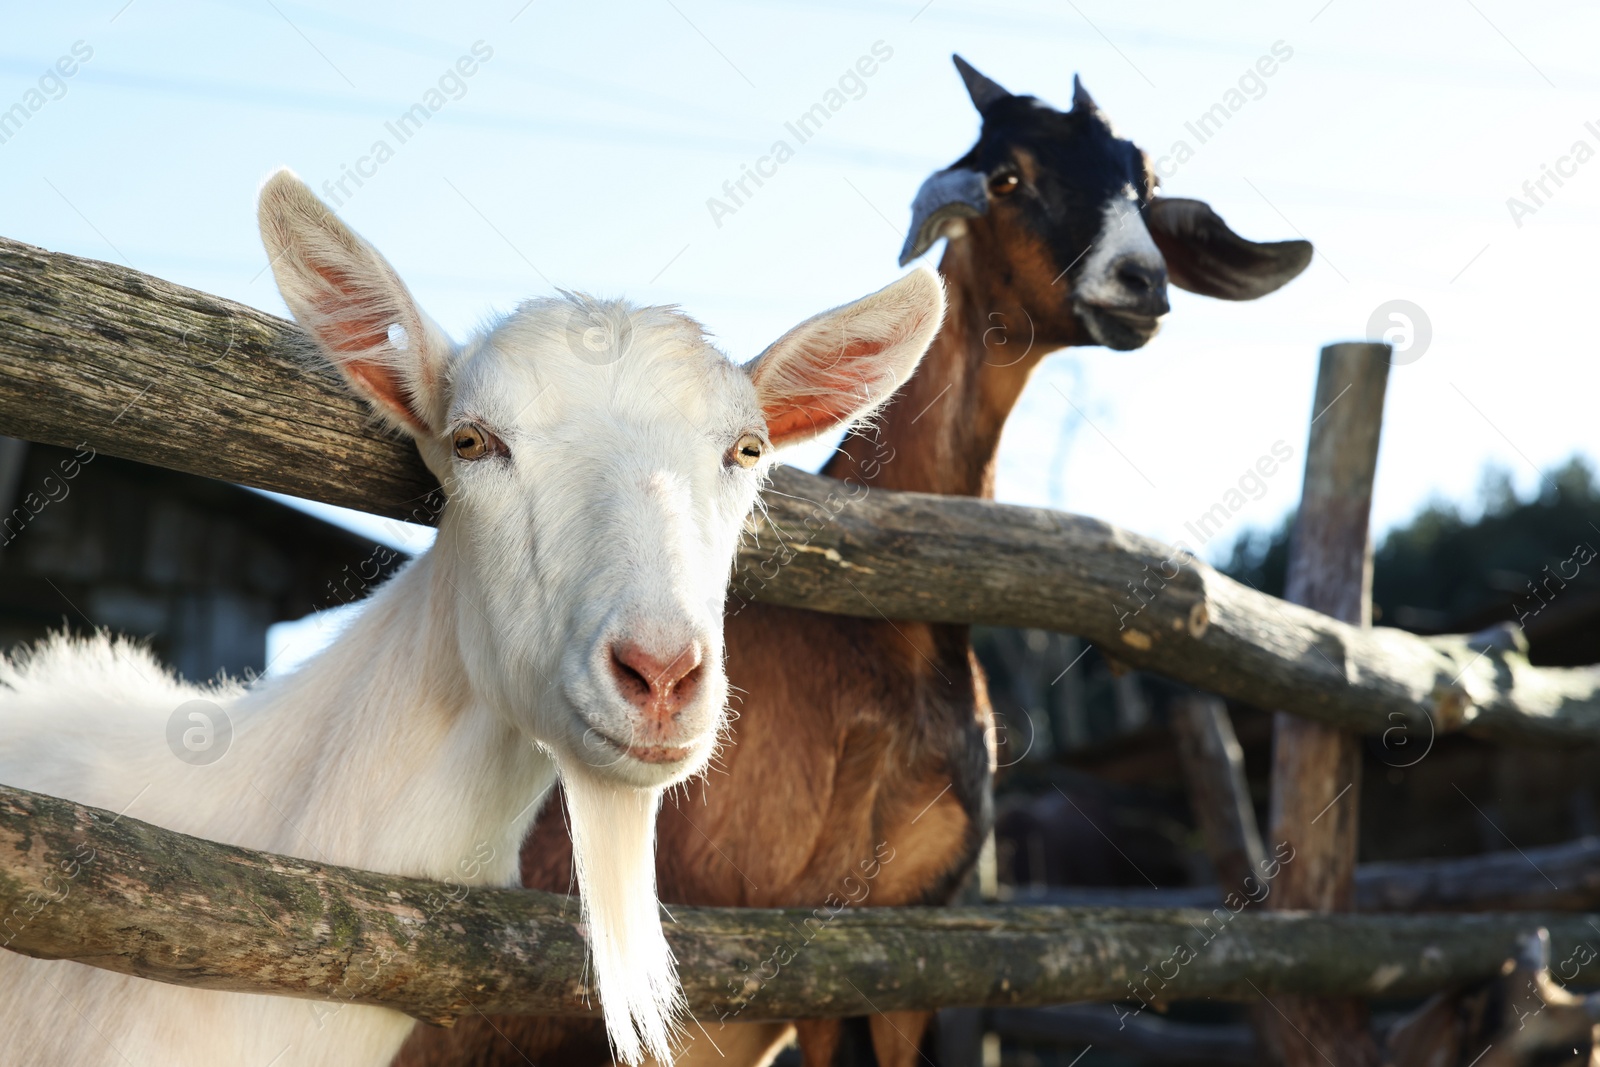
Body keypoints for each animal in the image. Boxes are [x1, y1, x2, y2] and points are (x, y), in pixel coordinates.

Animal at [390, 56, 1312, 1067]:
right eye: (1009, 177)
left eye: (1141, 185)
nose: (1139, 282)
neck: (892, 622)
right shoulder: (821, 939)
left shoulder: (910, 934)